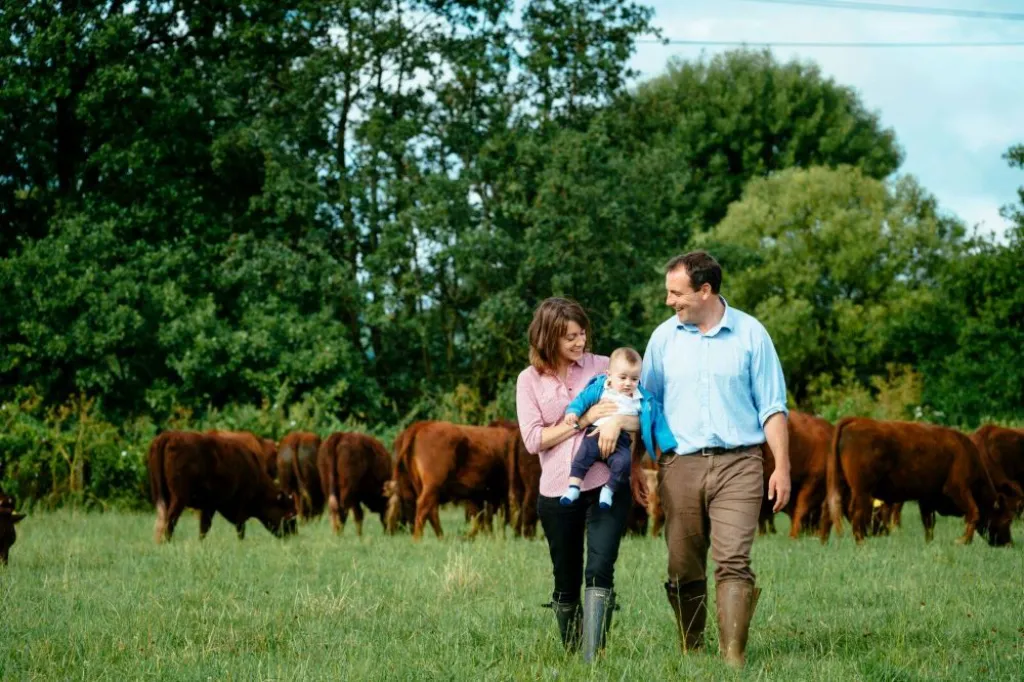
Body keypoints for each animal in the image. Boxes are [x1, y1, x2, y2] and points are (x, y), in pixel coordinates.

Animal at [148, 430, 299, 540]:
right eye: (290, 514)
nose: (293, 536)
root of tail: (169, 435)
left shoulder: (209, 506)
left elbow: (204, 528)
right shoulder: (241, 505)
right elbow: (240, 528)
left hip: (161, 496)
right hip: (178, 499)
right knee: (169, 521)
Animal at [827, 417, 1019, 544]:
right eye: (1007, 519)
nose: (1008, 543)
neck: (966, 452)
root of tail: (856, 422)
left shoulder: (927, 499)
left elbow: (929, 523)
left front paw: (929, 542)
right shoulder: (957, 489)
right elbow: (974, 512)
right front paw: (963, 541)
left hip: (848, 487)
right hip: (862, 491)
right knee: (856, 512)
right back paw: (862, 543)